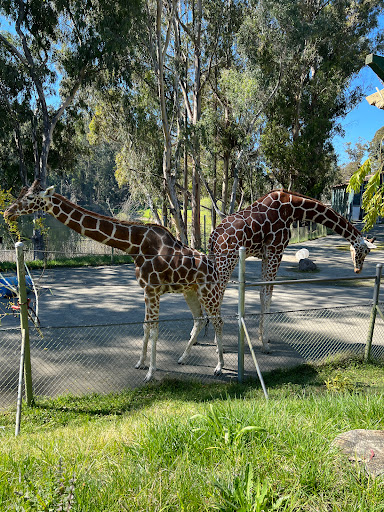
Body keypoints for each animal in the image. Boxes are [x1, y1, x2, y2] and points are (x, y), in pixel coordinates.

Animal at [3, 182, 225, 382]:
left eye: (30, 197)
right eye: (21, 193)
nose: (7, 212)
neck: (135, 245)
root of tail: (214, 267)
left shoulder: (153, 289)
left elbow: (154, 329)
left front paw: (150, 373)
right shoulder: (146, 290)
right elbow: (145, 326)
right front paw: (140, 363)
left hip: (208, 291)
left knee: (217, 321)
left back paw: (219, 367)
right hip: (190, 290)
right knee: (199, 319)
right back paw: (182, 358)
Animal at [208, 188, 376, 352]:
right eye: (366, 251)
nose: (358, 270)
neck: (293, 209)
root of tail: (213, 236)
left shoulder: (266, 254)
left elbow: (262, 293)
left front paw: (262, 336)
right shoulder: (276, 251)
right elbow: (268, 295)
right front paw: (265, 344)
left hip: (216, 261)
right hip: (227, 260)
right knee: (217, 296)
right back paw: (218, 345)